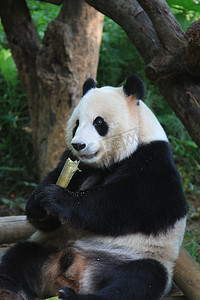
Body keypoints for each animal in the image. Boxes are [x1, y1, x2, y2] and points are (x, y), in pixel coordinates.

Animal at [0, 75, 188, 300]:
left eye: (99, 122)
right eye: (76, 123)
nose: (78, 145)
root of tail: (73, 275)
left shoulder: (153, 159)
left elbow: (133, 202)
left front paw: (56, 199)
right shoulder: (74, 162)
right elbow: (57, 180)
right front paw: (38, 204)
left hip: (136, 257)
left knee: (138, 280)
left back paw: (71, 296)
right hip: (47, 249)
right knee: (18, 257)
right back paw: (8, 290)